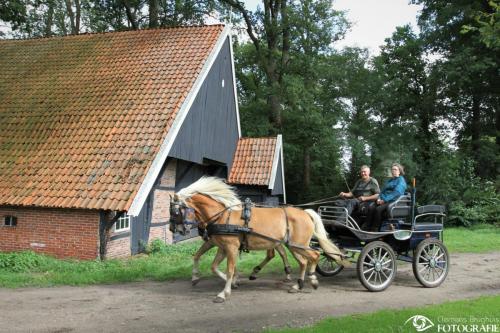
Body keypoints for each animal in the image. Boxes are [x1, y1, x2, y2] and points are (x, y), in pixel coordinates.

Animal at [169, 178, 348, 302]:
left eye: (176, 212)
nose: (172, 229)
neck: (222, 216)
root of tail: (305, 213)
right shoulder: (222, 247)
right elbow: (212, 266)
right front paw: (229, 282)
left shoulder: (231, 248)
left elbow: (229, 269)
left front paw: (224, 292)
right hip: (293, 245)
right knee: (304, 261)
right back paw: (297, 284)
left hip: (298, 245)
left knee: (314, 256)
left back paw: (312, 280)